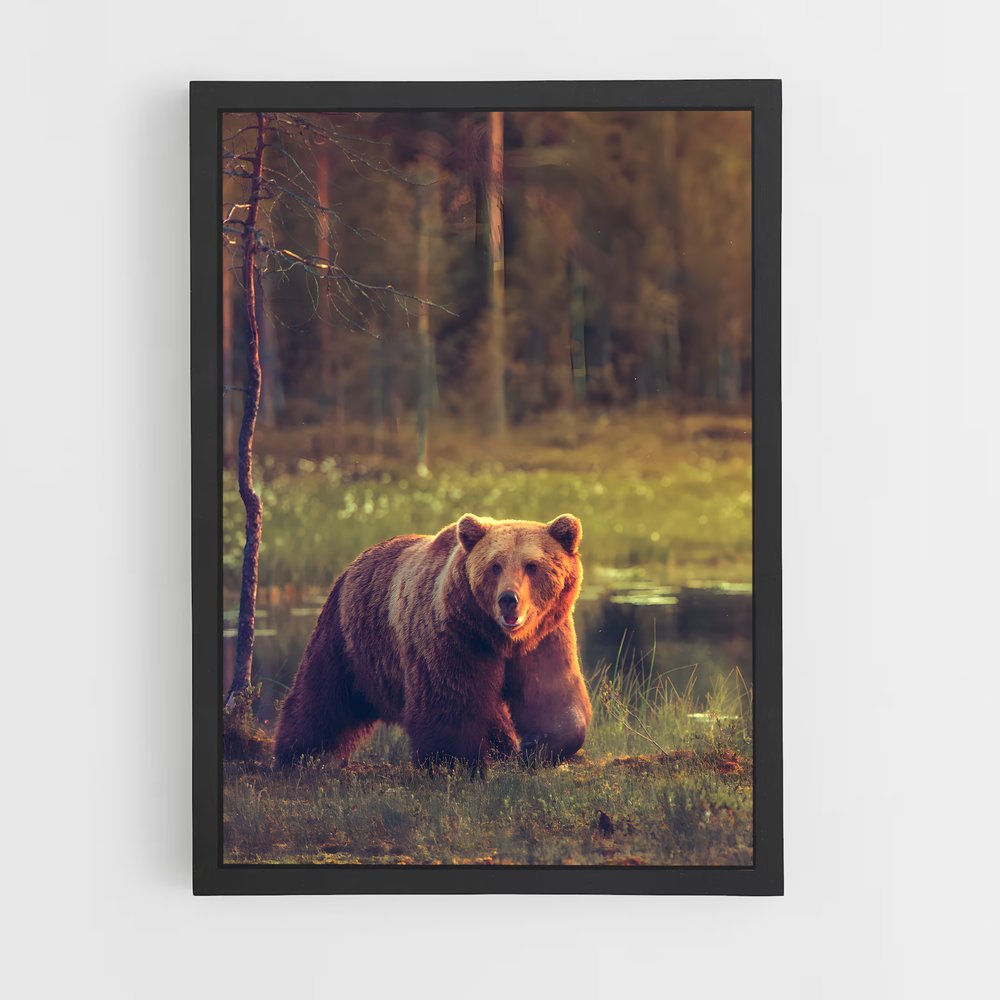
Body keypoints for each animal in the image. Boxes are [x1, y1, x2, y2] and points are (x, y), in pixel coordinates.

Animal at [273, 513, 592, 769]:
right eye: (495, 565)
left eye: (531, 565)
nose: (508, 599)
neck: (499, 638)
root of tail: (351, 565)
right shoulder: (455, 638)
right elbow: (448, 702)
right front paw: (455, 763)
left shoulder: (545, 637)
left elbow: (552, 695)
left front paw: (534, 748)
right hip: (350, 637)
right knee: (322, 694)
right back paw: (300, 754)